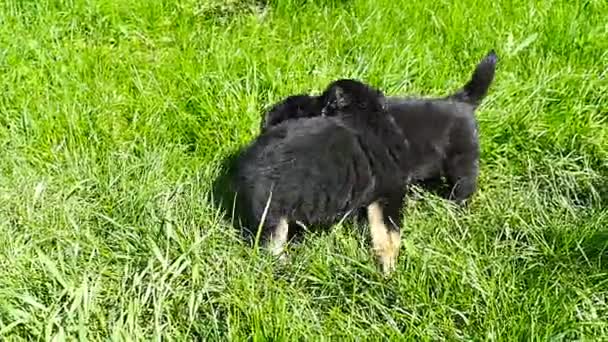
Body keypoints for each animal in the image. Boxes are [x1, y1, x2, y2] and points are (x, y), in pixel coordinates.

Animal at [235, 79, 410, 274]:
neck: (366, 117)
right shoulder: (389, 192)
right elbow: (390, 233)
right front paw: (389, 270)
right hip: (273, 208)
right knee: (273, 244)